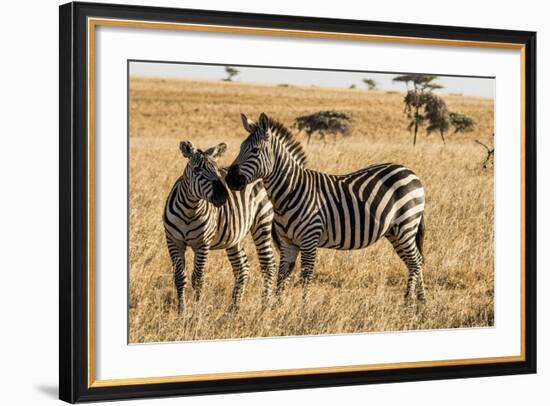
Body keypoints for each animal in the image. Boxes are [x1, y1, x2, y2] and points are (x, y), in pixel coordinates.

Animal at [163, 140, 276, 314]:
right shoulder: (173, 241)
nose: (223, 196)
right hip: (234, 236)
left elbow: (198, 278)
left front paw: (196, 312)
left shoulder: (203, 244)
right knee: (242, 267)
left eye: (216, 170)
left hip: (262, 221)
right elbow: (179, 277)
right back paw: (234, 308)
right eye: (196, 170)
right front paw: (182, 312)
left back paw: (265, 306)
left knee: (268, 264)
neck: (190, 210)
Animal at [226, 112, 430, 302]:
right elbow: (282, 276)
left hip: (406, 225)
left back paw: (408, 301)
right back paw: (421, 301)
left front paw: (303, 308)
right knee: (416, 261)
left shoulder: (309, 239)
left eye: (255, 150)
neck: (292, 191)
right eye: (240, 148)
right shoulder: (288, 243)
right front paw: (276, 307)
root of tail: (410, 172)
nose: (229, 179)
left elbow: (306, 276)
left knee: (415, 262)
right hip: (394, 231)